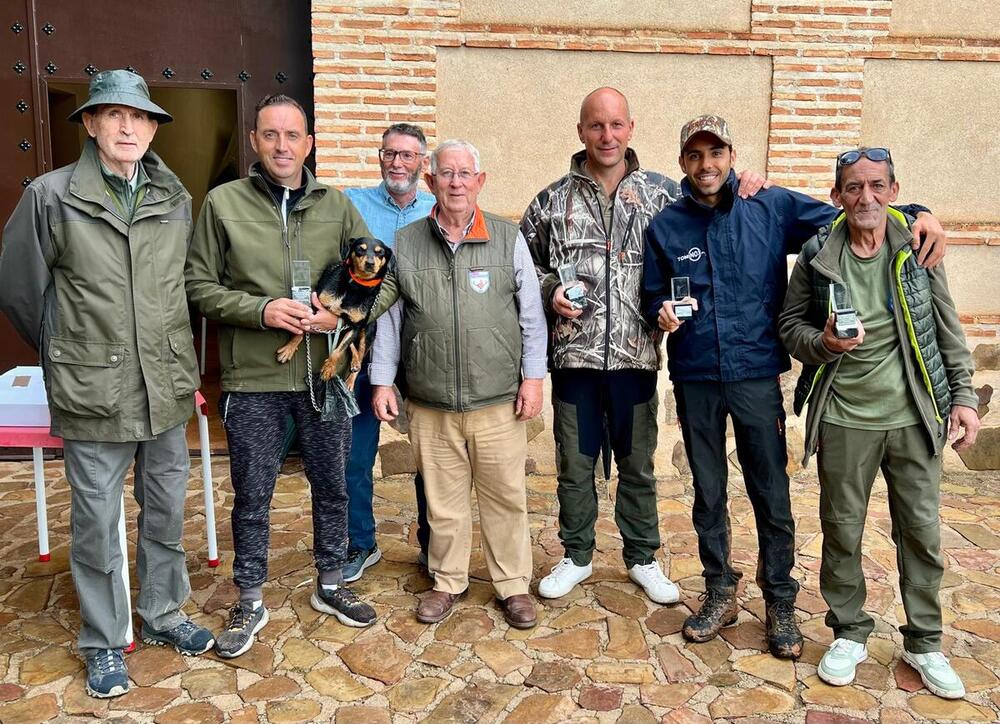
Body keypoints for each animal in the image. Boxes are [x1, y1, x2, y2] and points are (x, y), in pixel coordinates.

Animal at [280, 235, 396, 388]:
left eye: (380, 252)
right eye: (360, 249)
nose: (370, 263)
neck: (356, 285)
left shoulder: (356, 326)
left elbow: (339, 349)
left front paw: (329, 368)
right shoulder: (315, 306)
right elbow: (302, 329)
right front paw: (289, 347)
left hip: (368, 332)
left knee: (360, 353)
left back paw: (352, 377)